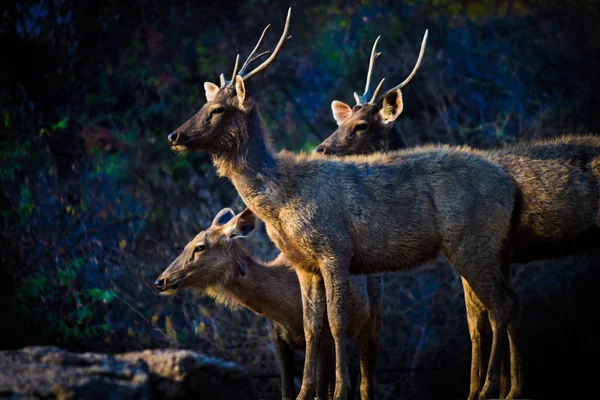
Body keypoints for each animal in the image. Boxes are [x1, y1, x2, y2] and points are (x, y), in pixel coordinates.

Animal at [152, 206, 382, 400]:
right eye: (186, 244)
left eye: (200, 247)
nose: (160, 281)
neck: (286, 309)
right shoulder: (277, 334)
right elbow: (287, 391)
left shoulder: (324, 333)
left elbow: (319, 392)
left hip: (372, 317)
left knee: (365, 383)